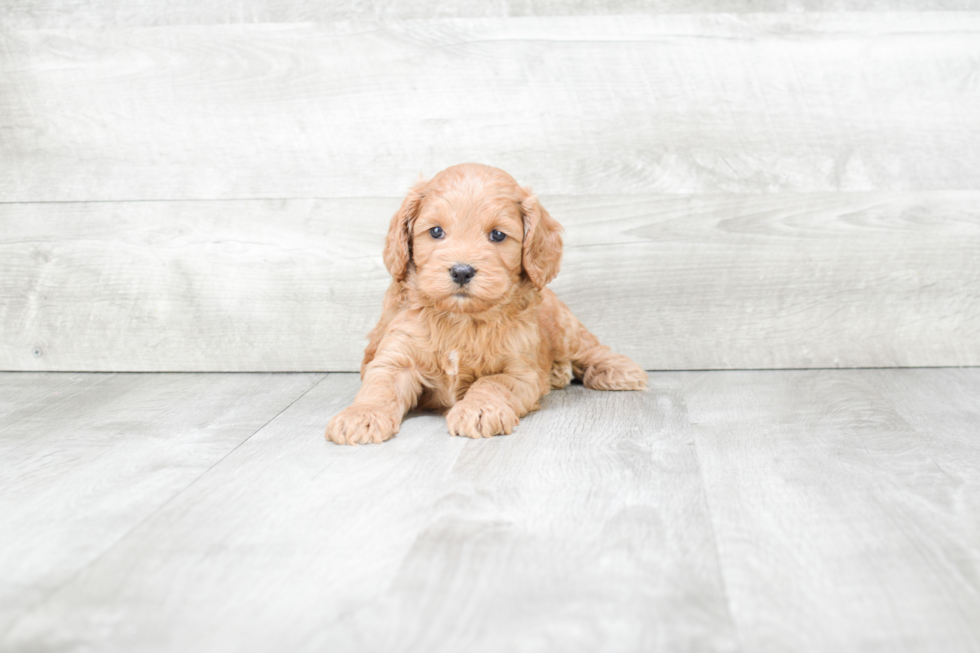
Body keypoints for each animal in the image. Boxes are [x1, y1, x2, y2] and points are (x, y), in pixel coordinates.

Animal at [330, 162, 648, 444]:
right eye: (436, 231)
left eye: (497, 235)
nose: (461, 271)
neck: (460, 319)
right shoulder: (396, 357)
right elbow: (380, 387)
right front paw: (361, 416)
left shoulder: (519, 372)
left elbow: (491, 382)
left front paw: (479, 410)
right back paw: (559, 372)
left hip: (564, 327)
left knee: (589, 347)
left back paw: (619, 370)